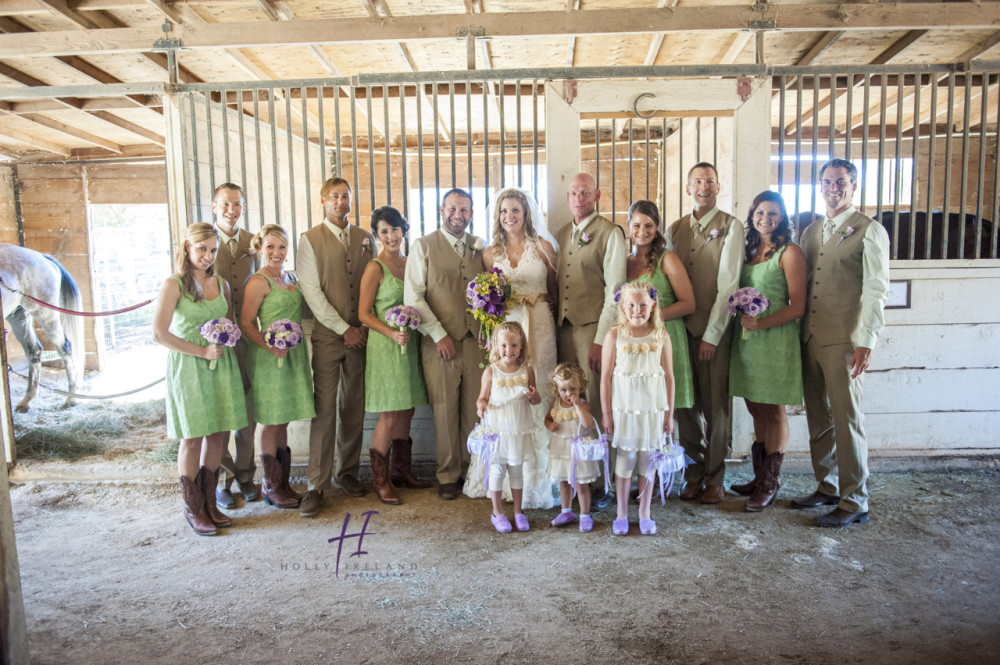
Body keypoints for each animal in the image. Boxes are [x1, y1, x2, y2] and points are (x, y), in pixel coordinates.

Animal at [0, 244, 84, 410]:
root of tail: (43, 257)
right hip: (18, 316)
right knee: (34, 350)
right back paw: (27, 400)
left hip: (46, 315)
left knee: (65, 348)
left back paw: (71, 398)